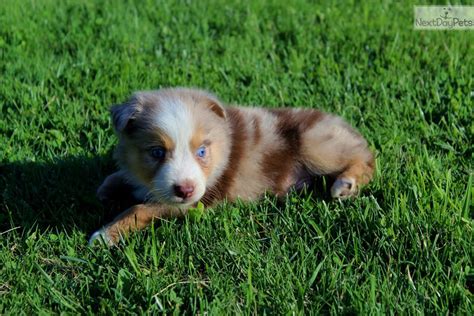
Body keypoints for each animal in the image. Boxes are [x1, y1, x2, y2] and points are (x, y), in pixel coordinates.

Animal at [90, 87, 374, 246]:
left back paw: (346, 184)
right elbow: (117, 178)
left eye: (201, 151)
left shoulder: (196, 201)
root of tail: (341, 122)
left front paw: (104, 235)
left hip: (316, 142)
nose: (185, 190)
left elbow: (139, 209)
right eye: (157, 153)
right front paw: (107, 189)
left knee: (367, 158)